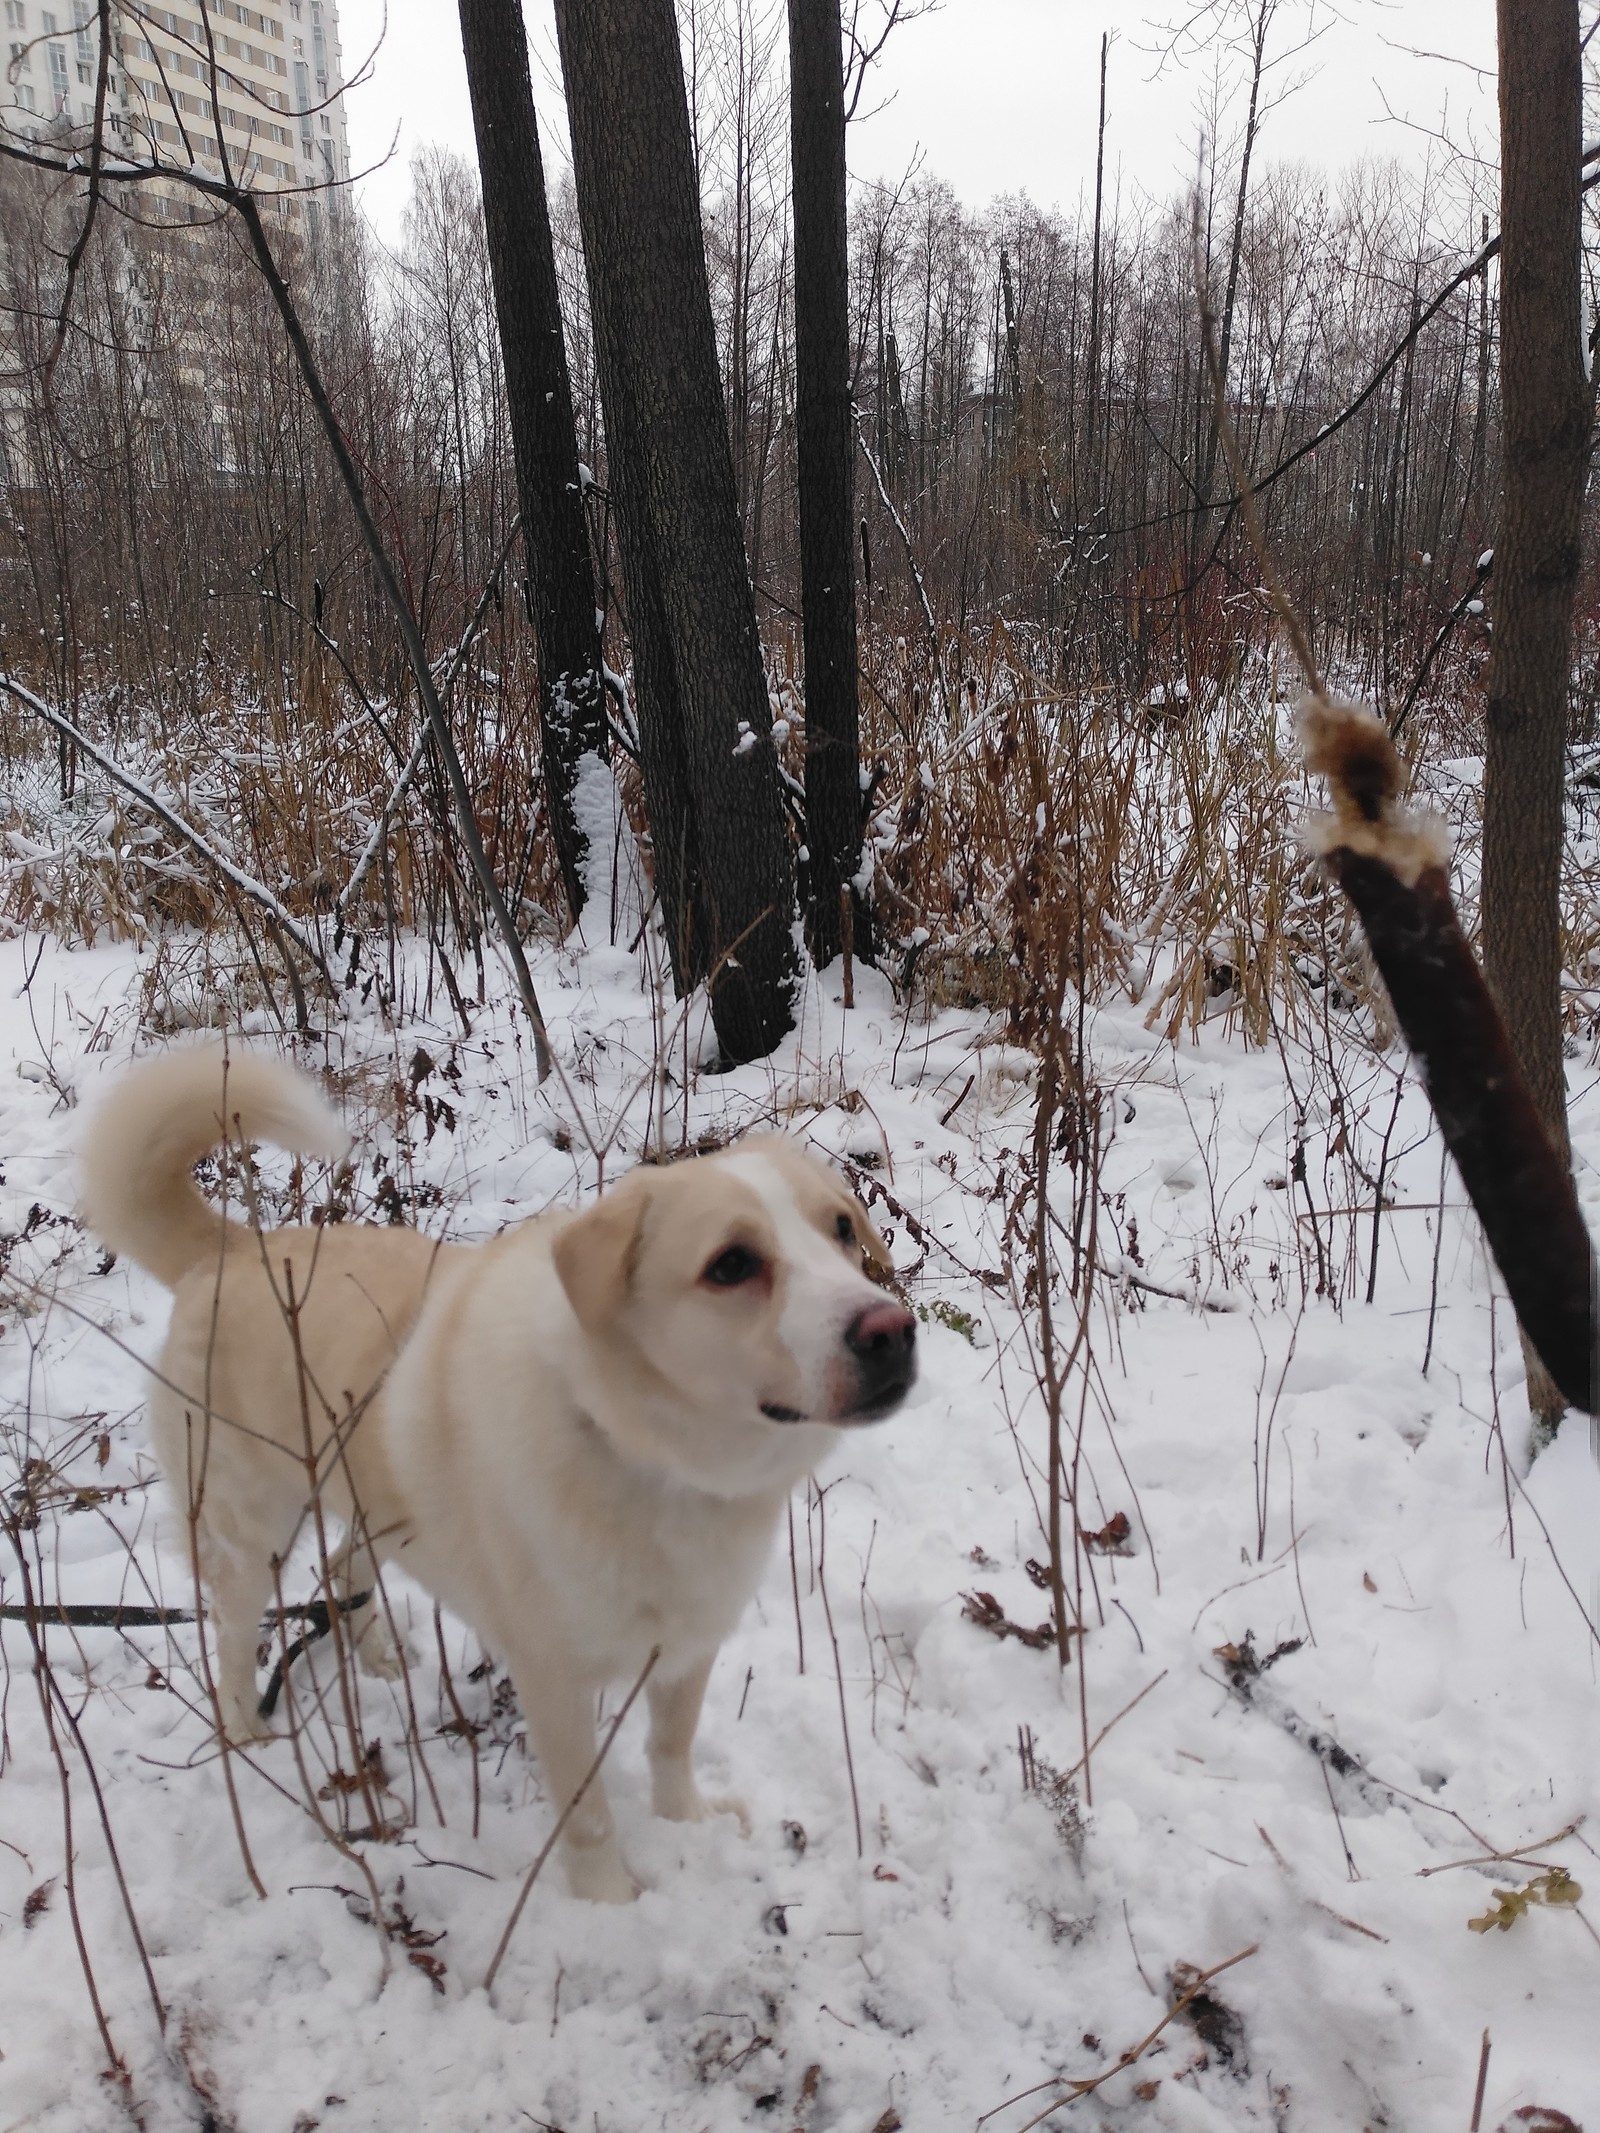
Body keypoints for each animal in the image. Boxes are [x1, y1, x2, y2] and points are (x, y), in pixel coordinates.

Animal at [81, 1049, 913, 1902]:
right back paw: (247, 1727)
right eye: (733, 1264)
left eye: (840, 1228)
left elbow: (671, 1747)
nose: (893, 1332)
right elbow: (588, 1812)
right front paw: (609, 1900)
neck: (647, 1458)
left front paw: (688, 1824)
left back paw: (377, 1658)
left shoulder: (688, 1644)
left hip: (378, 1508)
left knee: (342, 1567)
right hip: (248, 1528)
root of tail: (227, 1248)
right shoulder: (553, 1678)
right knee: (232, 1626)